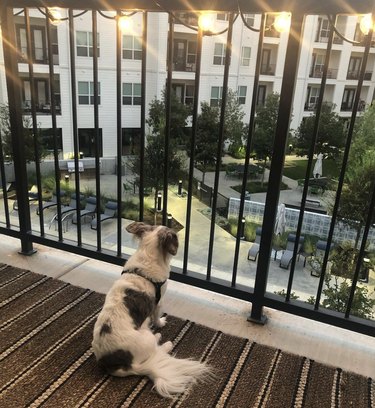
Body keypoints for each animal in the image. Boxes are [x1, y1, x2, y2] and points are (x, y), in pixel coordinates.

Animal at [92, 223, 212, 398]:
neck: (146, 257)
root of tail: (118, 366)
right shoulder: (159, 302)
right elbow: (156, 316)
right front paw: (160, 323)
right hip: (146, 339)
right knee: (157, 349)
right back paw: (163, 341)